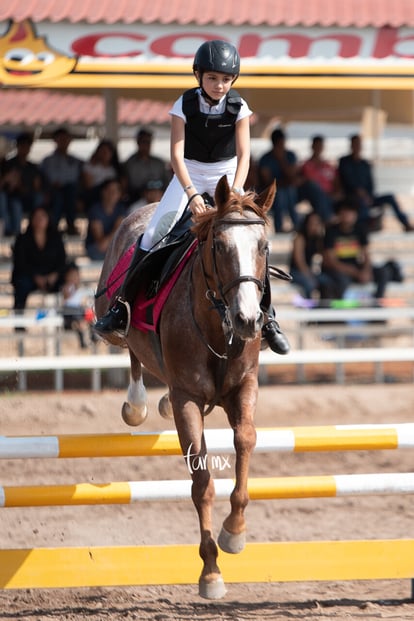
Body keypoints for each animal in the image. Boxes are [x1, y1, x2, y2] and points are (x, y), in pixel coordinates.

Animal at [96, 173, 276, 596]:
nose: (248, 320)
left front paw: (235, 532)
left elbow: (245, 439)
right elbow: (201, 481)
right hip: (113, 320)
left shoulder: (244, 388)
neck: (218, 323)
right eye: (220, 246)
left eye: (263, 247)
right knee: (131, 348)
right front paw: (210, 571)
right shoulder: (188, 399)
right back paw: (137, 405)